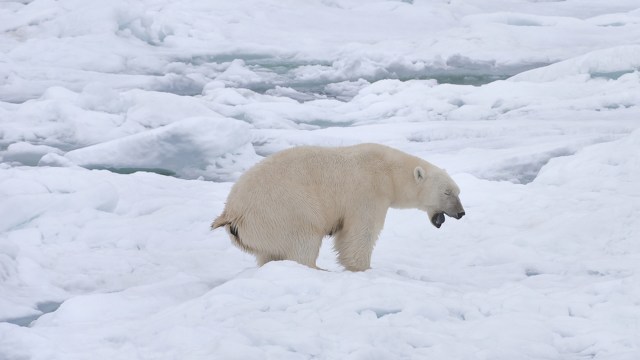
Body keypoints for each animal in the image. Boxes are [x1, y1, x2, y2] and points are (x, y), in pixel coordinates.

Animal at [211, 143, 464, 270]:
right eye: (447, 192)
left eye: (458, 192)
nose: (461, 213)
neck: (389, 172)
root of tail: (232, 212)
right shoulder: (367, 192)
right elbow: (359, 234)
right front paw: (362, 268)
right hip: (283, 210)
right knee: (303, 242)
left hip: (262, 229)